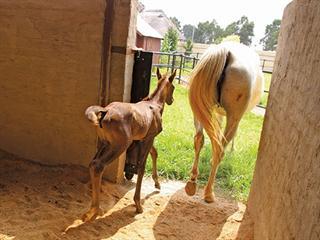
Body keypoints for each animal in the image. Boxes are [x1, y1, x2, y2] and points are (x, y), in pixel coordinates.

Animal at [82, 68, 176, 221]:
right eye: (173, 87)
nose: (171, 100)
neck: (154, 104)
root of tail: (105, 111)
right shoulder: (149, 138)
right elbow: (141, 167)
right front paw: (138, 205)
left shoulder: (142, 138)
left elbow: (154, 153)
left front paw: (157, 183)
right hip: (120, 145)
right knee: (98, 165)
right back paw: (95, 209)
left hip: (104, 143)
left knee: (92, 163)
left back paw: (93, 208)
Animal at [184, 41, 264, 202]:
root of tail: (227, 51)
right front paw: (232, 149)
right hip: (233, 117)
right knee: (220, 149)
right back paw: (209, 193)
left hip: (200, 110)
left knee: (199, 139)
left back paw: (192, 181)